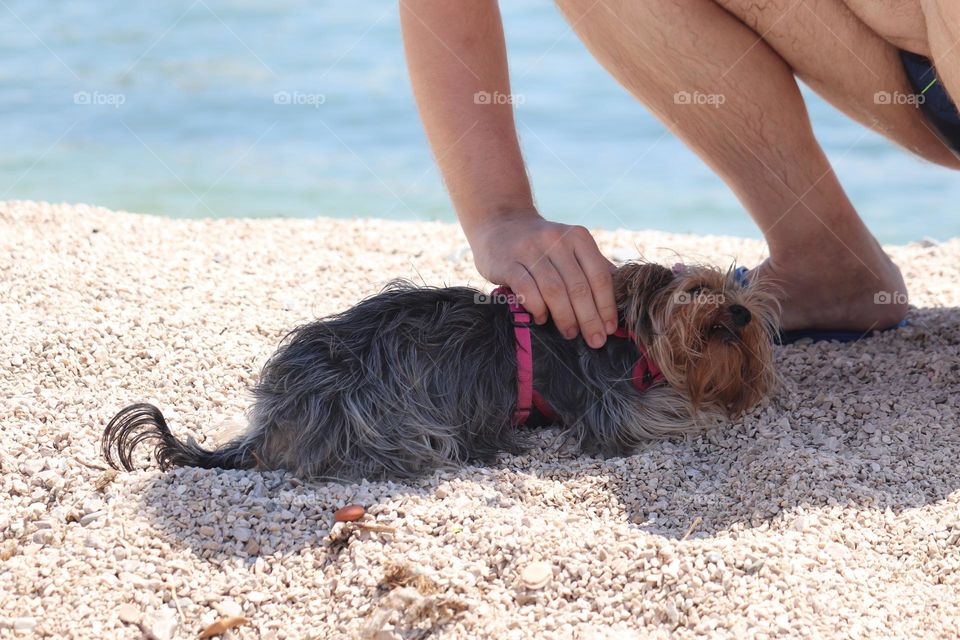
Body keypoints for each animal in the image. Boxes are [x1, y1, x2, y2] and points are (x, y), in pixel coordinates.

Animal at [103, 262, 780, 480]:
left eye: (737, 289)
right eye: (697, 289)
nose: (742, 311)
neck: (629, 340)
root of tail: (272, 418)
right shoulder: (612, 405)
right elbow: (672, 410)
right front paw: (709, 409)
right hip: (386, 419)